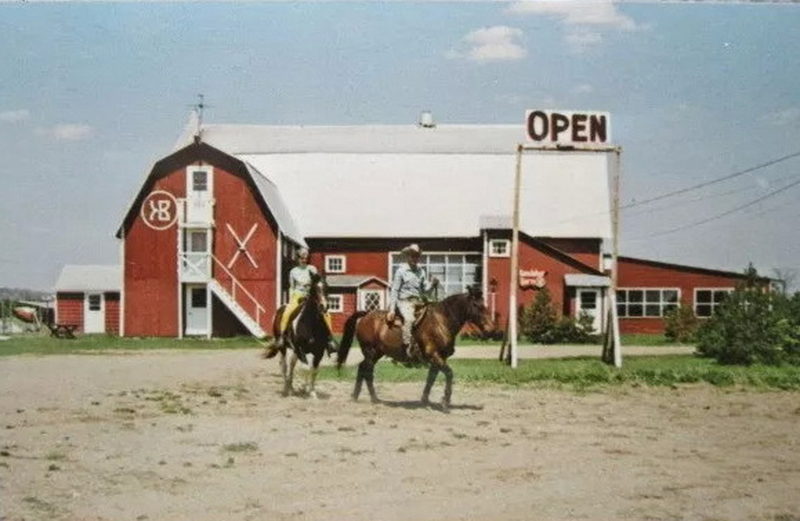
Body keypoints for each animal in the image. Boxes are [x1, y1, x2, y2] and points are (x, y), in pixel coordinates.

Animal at [336, 284, 494, 410]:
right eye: (477, 306)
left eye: (485, 305)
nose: (490, 329)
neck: (441, 321)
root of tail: (366, 315)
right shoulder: (434, 356)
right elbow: (449, 374)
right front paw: (445, 402)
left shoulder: (438, 359)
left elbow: (431, 379)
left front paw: (425, 400)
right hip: (370, 351)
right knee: (367, 371)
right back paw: (373, 398)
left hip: (376, 353)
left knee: (363, 368)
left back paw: (358, 396)